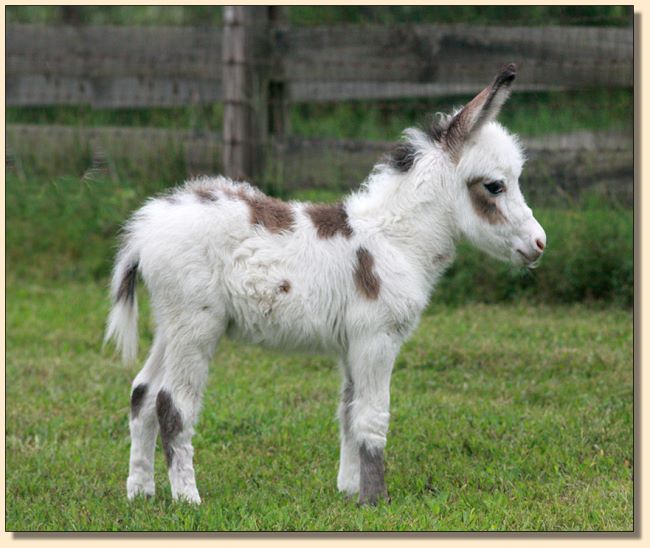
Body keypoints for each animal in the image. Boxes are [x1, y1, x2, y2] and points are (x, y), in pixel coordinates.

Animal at [105, 64, 540, 506]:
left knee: (142, 393)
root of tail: (145, 228)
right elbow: (373, 416)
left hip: (171, 323)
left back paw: (140, 491)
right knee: (172, 403)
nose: (539, 244)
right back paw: (187, 498)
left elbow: (348, 412)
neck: (394, 240)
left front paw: (349, 491)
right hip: (196, 324)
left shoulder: (352, 343)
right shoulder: (376, 339)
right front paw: (375, 500)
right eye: (495, 186)